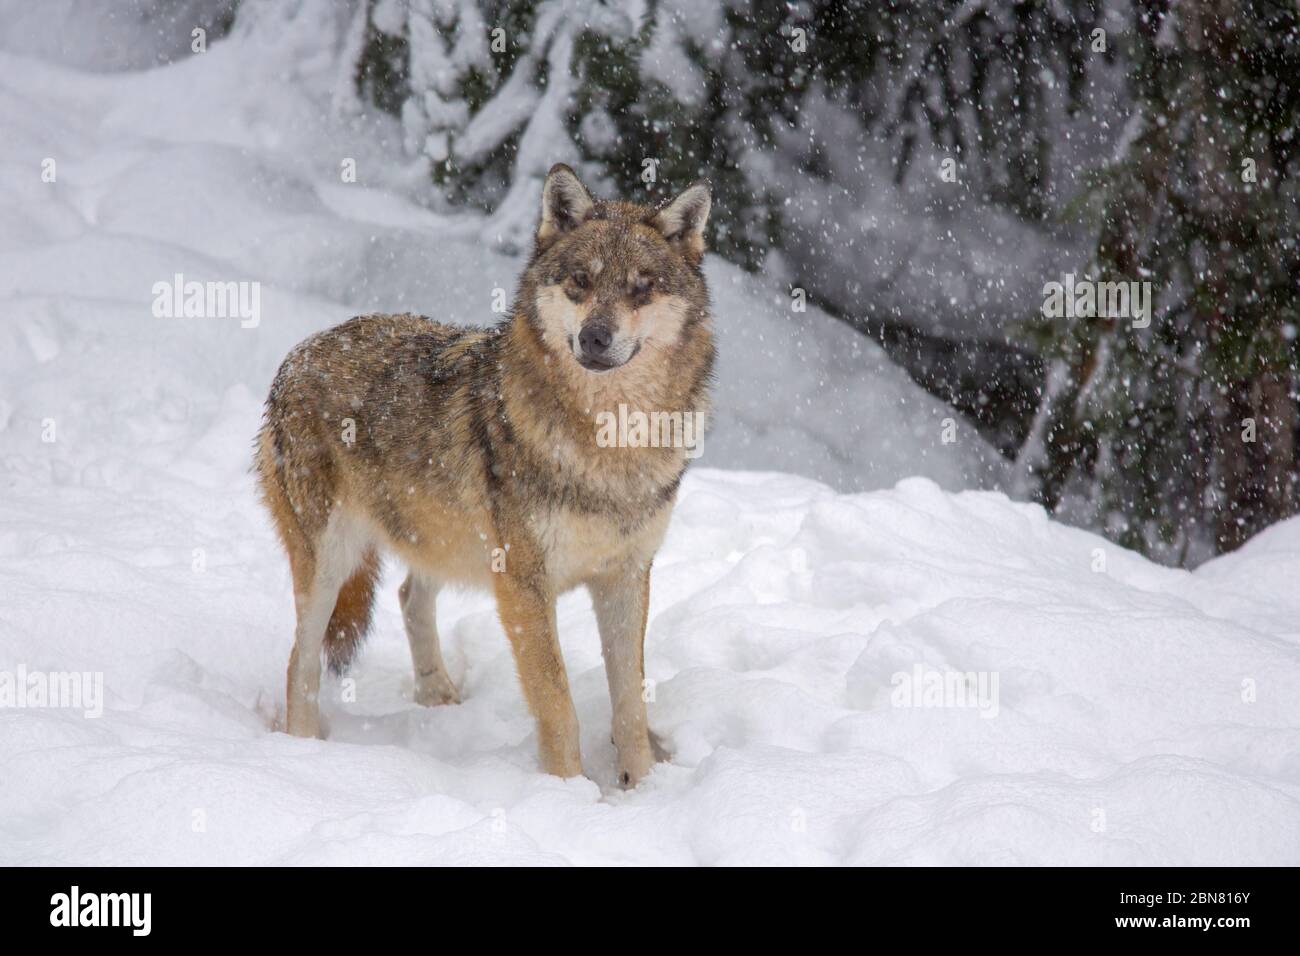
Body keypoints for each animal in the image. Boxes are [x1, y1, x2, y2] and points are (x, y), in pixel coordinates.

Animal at [254, 164, 717, 790]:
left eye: (641, 288)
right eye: (580, 281)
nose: (595, 337)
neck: (608, 445)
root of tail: (298, 352)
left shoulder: (627, 576)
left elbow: (630, 703)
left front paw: (643, 787)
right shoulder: (523, 586)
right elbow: (559, 705)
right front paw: (569, 793)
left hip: (437, 538)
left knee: (408, 595)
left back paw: (437, 696)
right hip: (331, 561)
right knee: (299, 662)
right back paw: (304, 753)